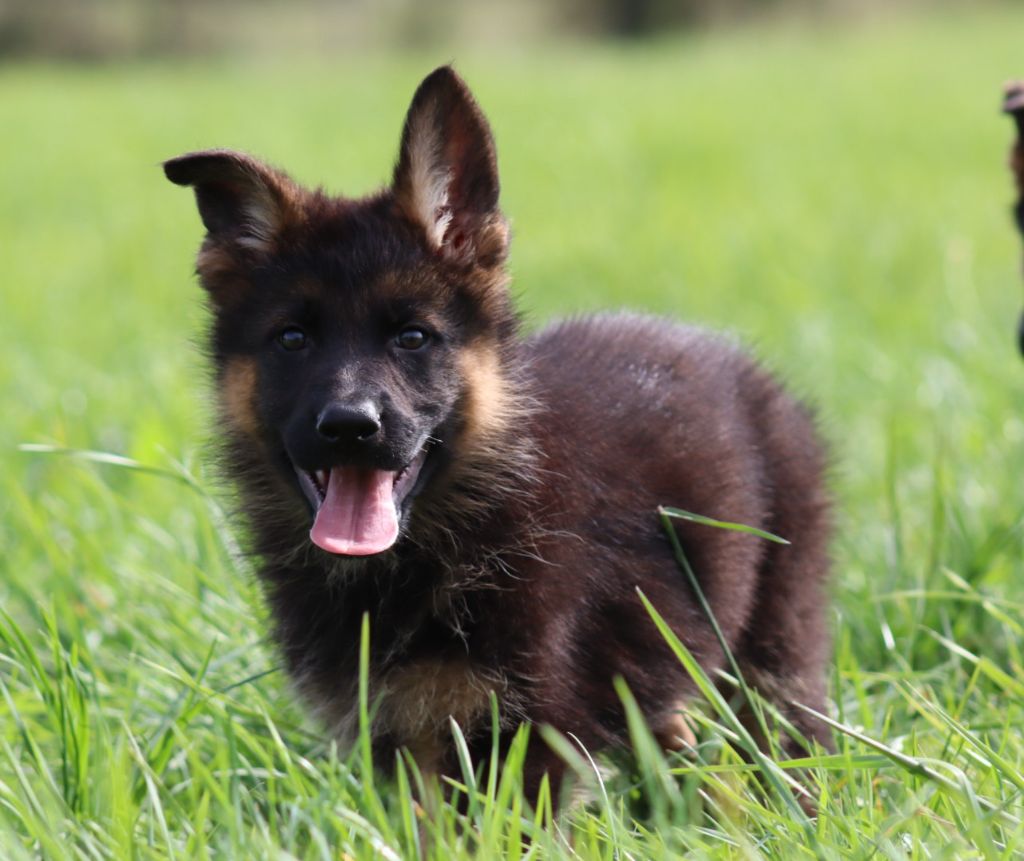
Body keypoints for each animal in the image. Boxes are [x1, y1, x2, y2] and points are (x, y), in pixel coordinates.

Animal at [165, 67, 831, 798]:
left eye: (412, 337)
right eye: (292, 339)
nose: (349, 426)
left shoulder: (534, 735)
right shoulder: (401, 739)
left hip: (776, 640)